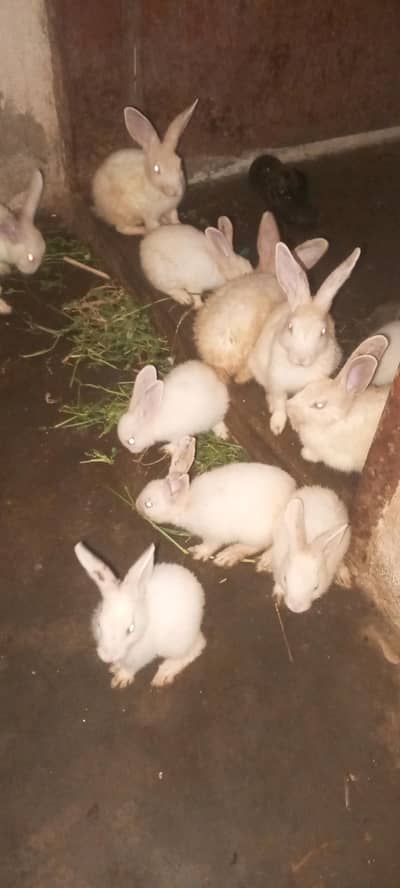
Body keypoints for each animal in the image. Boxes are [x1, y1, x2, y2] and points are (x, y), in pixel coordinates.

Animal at [74, 541, 206, 689]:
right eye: (99, 624)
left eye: (131, 629)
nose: (108, 656)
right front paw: (115, 666)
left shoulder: (140, 658)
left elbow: (130, 669)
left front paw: (121, 678)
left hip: (176, 644)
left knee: (196, 648)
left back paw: (165, 672)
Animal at [92, 100, 198, 236]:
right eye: (156, 169)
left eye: (179, 163)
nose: (175, 192)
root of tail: (100, 209)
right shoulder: (149, 215)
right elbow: (153, 225)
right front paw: (156, 230)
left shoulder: (172, 209)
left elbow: (174, 217)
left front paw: (178, 224)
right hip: (122, 212)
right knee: (122, 228)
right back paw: (142, 230)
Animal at [136, 435, 296, 567]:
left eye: (149, 504)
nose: (137, 505)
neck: (186, 503)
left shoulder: (213, 535)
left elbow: (211, 545)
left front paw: (198, 552)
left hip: (255, 533)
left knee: (261, 546)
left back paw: (230, 556)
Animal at [248, 241, 361, 434]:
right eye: (290, 327)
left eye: (322, 332)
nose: (301, 360)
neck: (298, 371)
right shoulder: (277, 384)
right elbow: (280, 404)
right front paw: (276, 427)